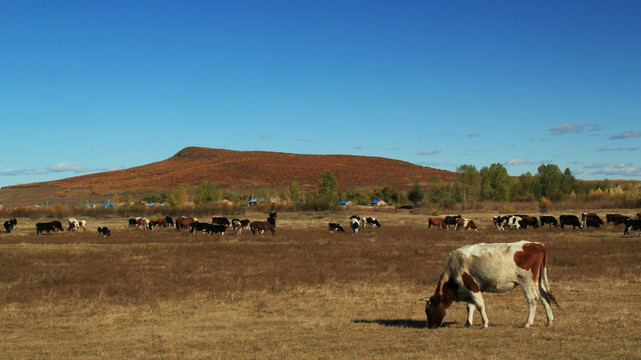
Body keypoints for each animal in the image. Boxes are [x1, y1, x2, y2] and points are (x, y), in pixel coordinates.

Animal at [422, 240, 556, 328]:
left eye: (428, 310)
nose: (429, 326)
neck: (454, 268)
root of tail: (536, 244)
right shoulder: (471, 290)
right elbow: (470, 307)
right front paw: (468, 323)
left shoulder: (472, 287)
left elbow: (480, 305)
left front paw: (485, 323)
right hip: (537, 281)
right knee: (544, 297)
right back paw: (549, 321)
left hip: (526, 281)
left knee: (532, 299)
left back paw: (527, 323)